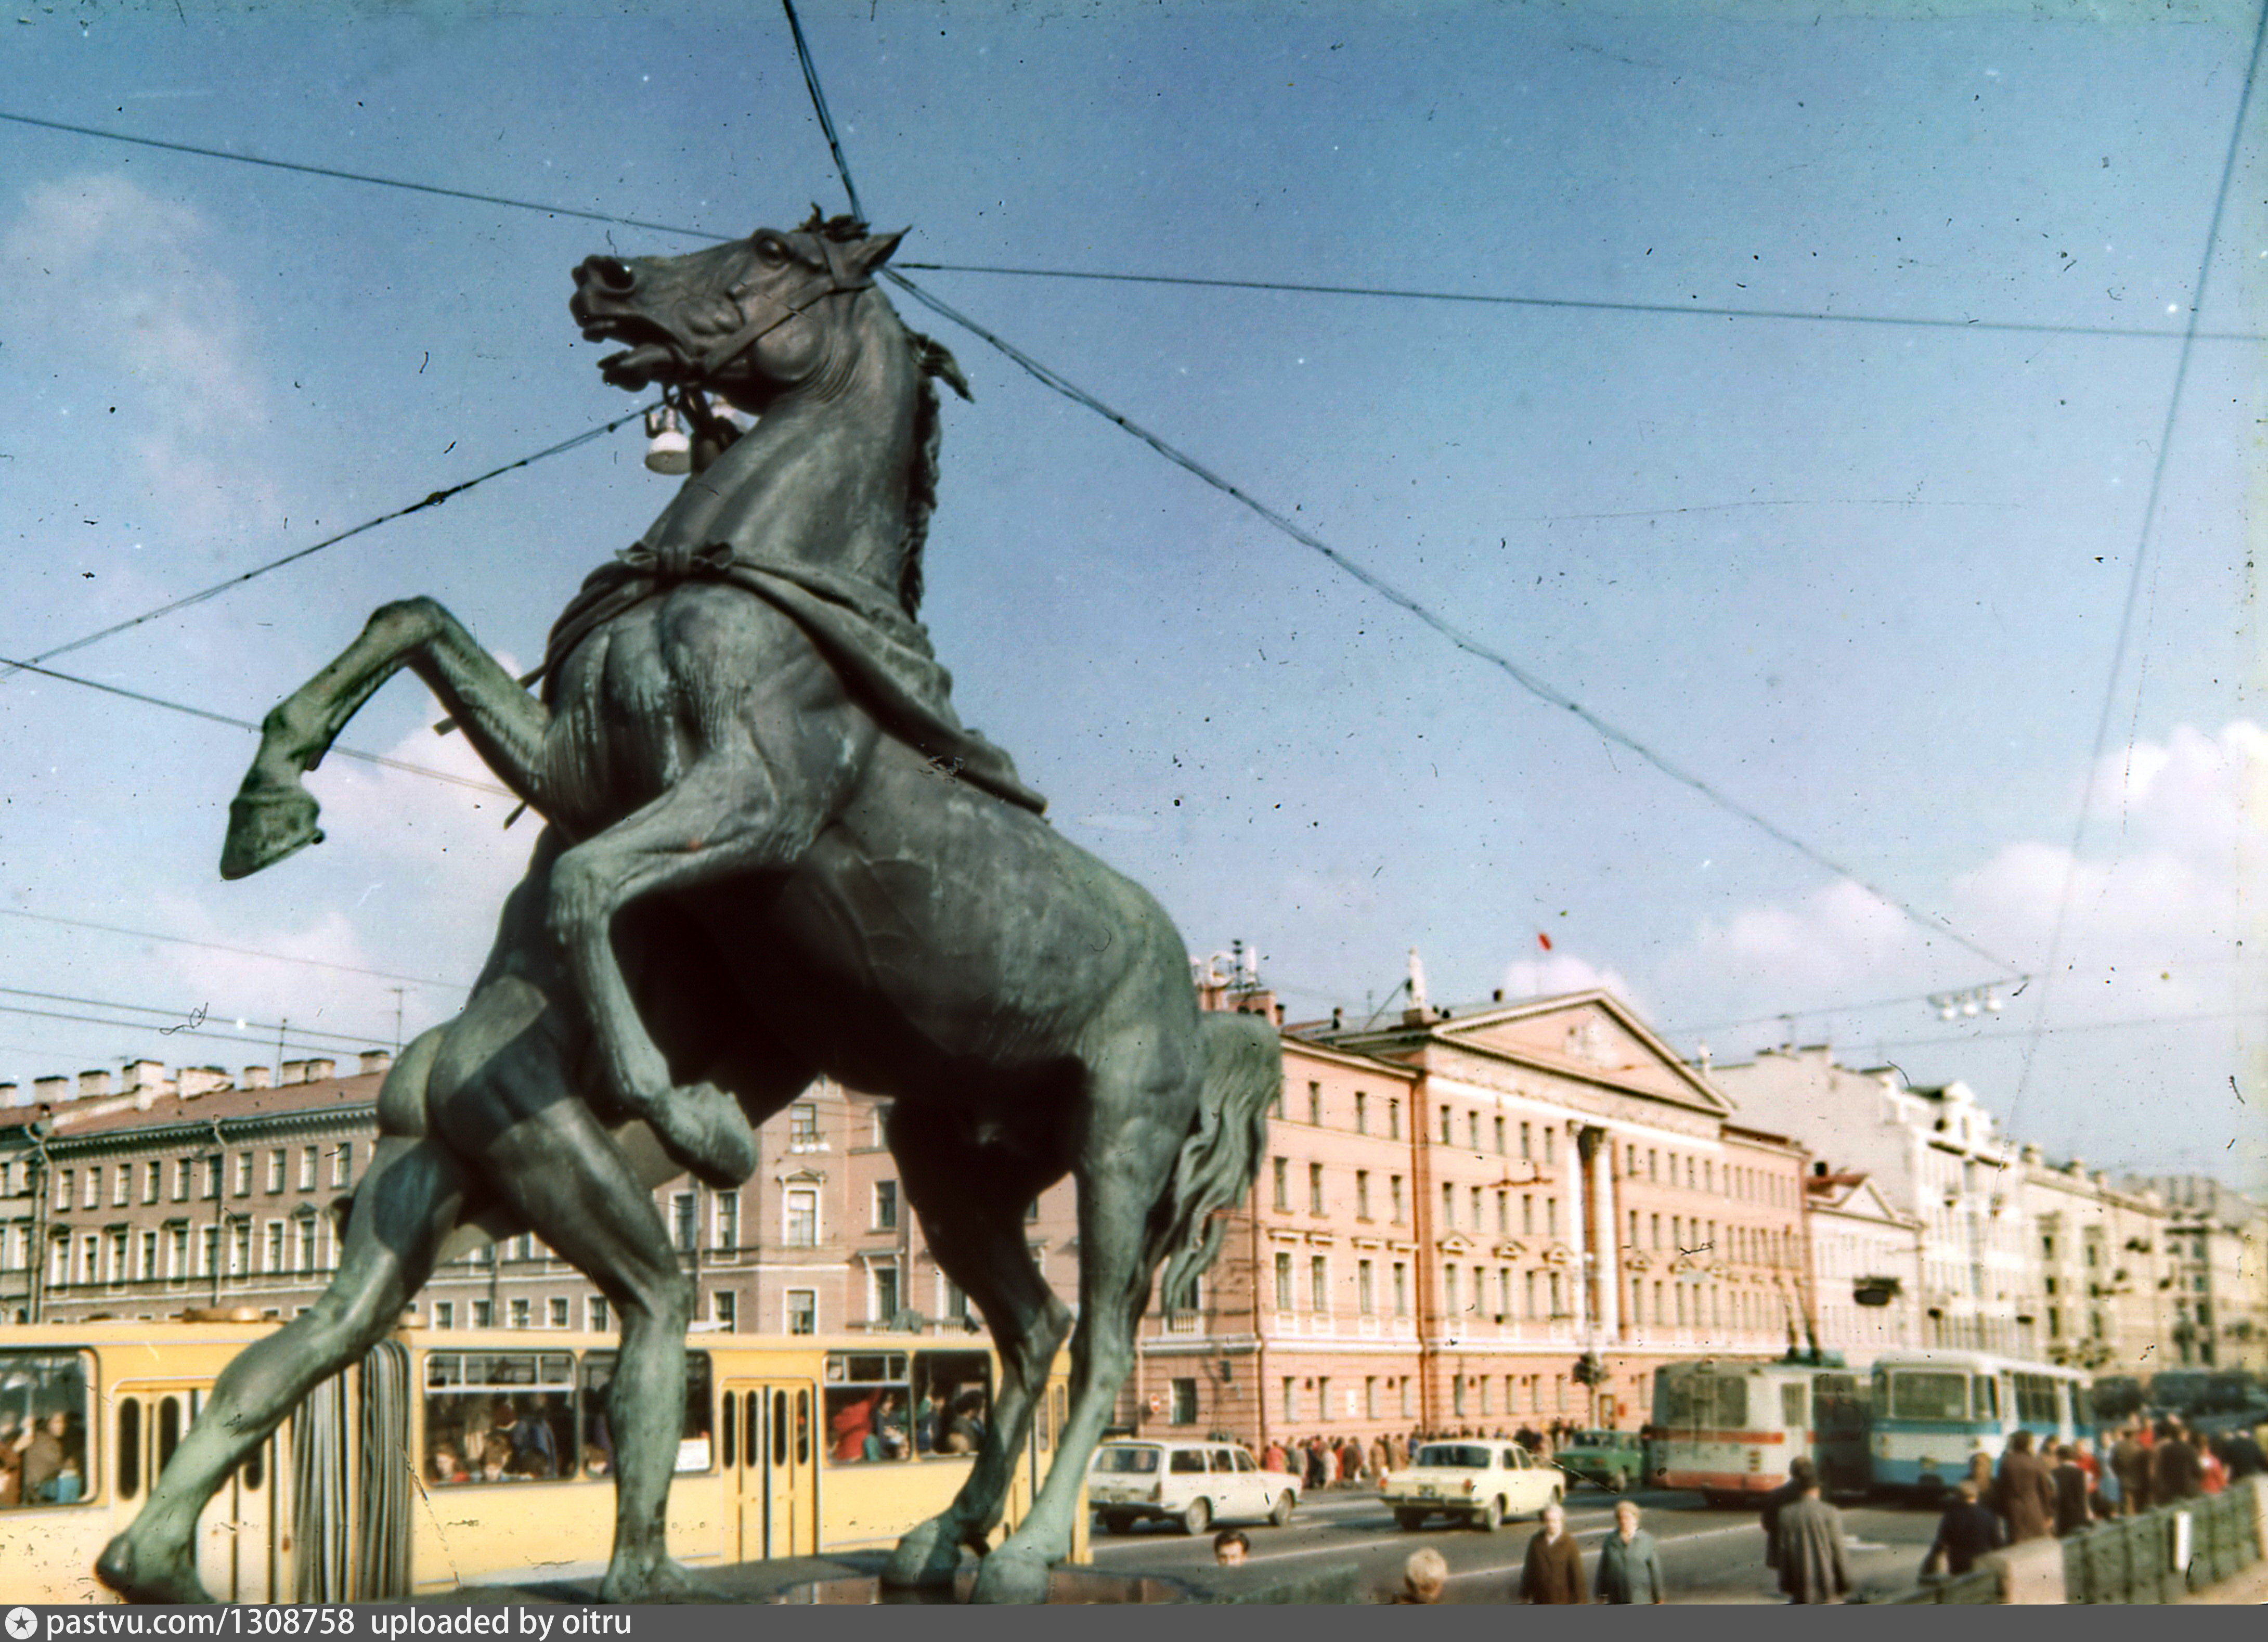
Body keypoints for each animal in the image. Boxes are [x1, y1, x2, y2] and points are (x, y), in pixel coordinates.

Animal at [102, 214, 1279, 1606]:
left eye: (770, 249)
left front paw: (687, 1115)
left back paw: (1025, 1555)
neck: (744, 589)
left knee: (1102, 1339)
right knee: (1032, 1334)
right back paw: (940, 1541)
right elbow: (416, 617)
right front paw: (268, 804)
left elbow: (580, 884)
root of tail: (1212, 1012)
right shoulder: (577, 770)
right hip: (950, 1162)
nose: (600, 277)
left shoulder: (750, 808)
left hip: (1118, 1139)